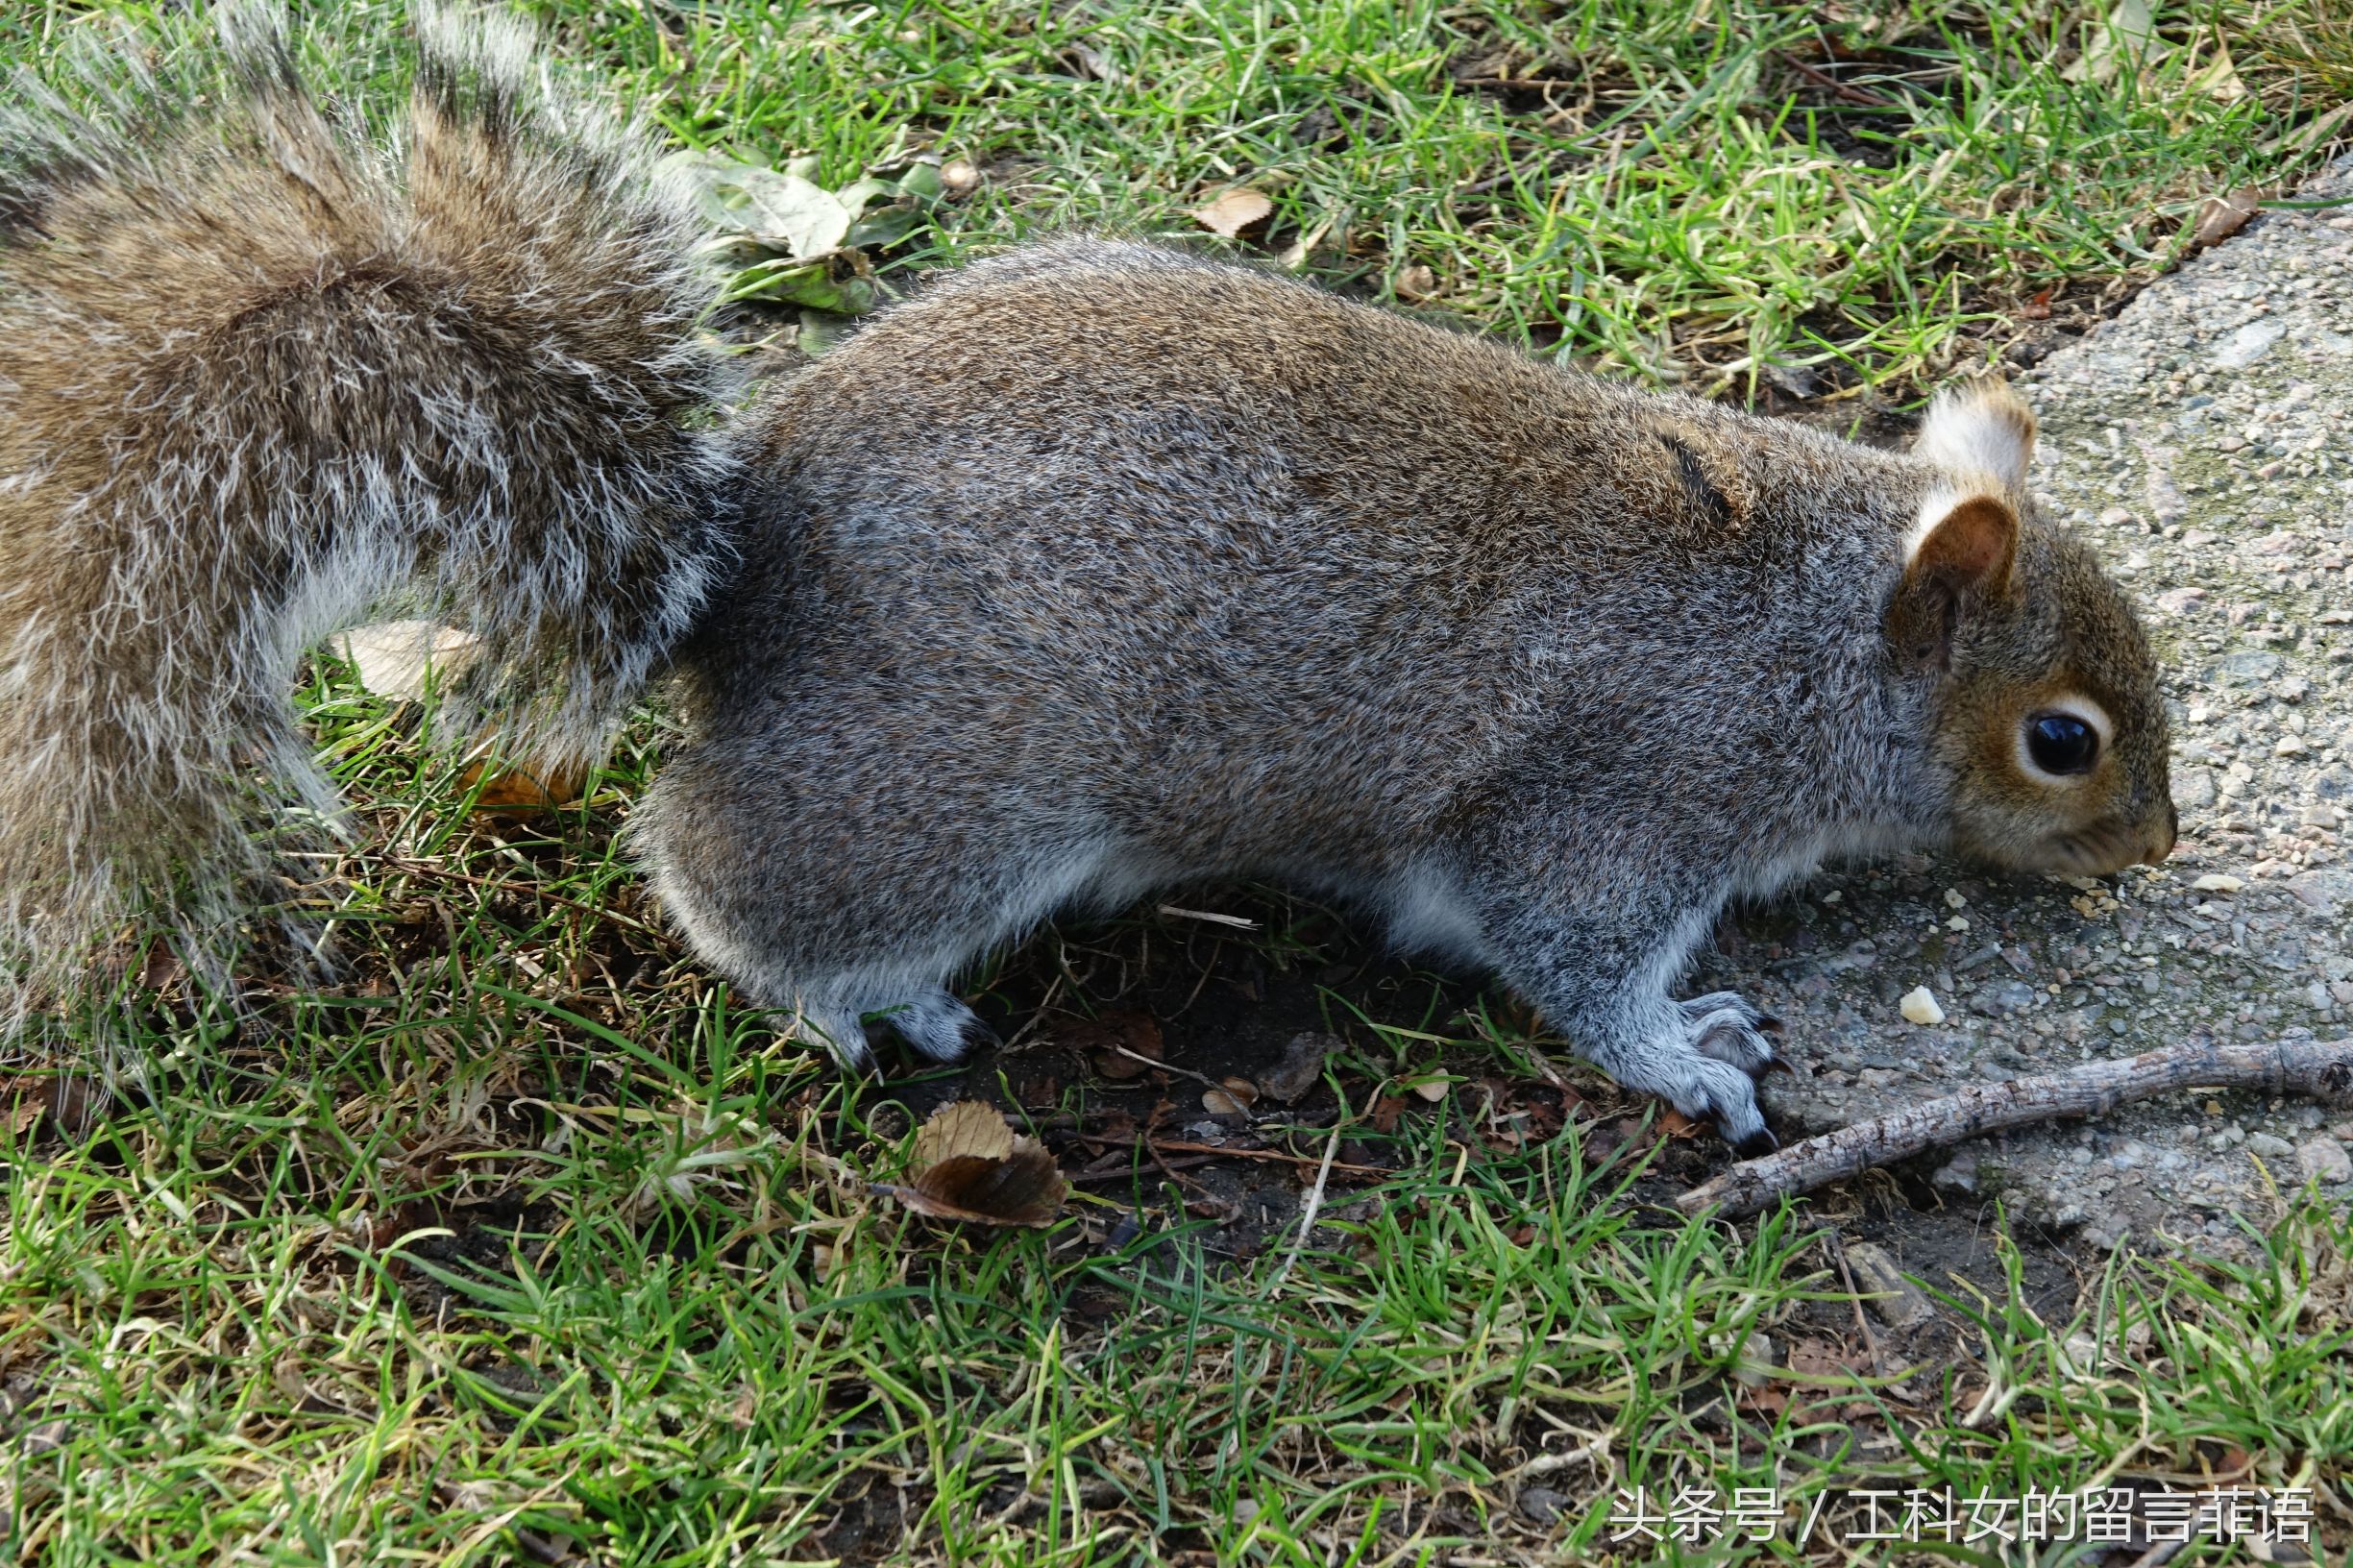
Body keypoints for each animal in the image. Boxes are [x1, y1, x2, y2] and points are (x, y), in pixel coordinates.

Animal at [0, 0, 2173, 1148]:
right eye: (2060, 737)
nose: (2152, 850)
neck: (1797, 633)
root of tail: (734, 574)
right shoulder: (1610, 797)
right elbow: (1566, 952)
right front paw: (1689, 1053)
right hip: (944, 796)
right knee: (720, 869)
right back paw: (861, 1005)